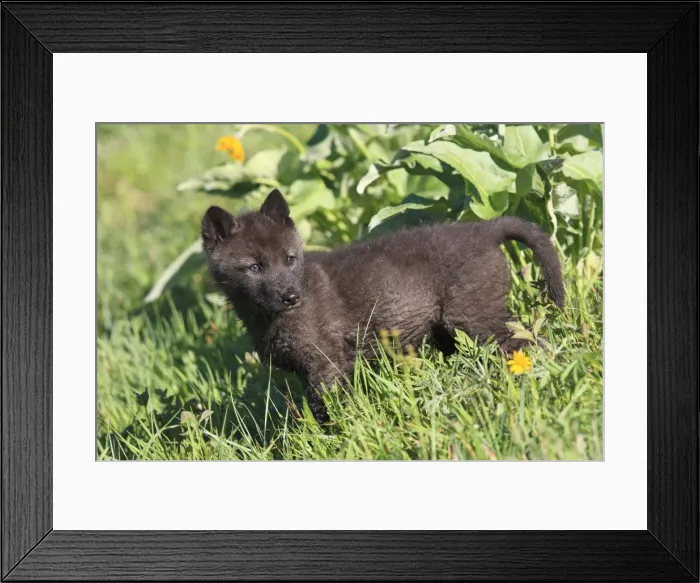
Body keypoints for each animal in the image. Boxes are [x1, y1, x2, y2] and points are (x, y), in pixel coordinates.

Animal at [202, 189, 564, 424]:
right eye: (254, 267)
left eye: (289, 259)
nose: (291, 297)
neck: (267, 318)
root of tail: (485, 228)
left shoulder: (326, 365)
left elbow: (329, 410)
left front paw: (342, 436)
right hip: (452, 331)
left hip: (474, 319)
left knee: (525, 343)